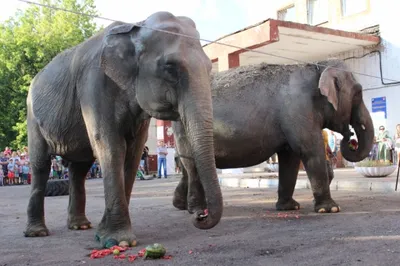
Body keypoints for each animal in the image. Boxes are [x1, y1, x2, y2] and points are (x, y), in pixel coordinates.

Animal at [23, 10, 223, 247]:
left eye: (210, 68)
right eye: (170, 67)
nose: (199, 215)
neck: (135, 27)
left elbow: (134, 151)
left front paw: (104, 233)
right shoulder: (93, 83)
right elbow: (109, 144)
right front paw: (119, 240)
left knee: (79, 168)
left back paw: (80, 226)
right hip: (32, 117)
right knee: (41, 165)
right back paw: (37, 232)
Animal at [173, 59, 376, 215]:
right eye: (358, 92)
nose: (349, 137)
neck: (317, 67)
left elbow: (290, 158)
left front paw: (289, 208)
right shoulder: (298, 110)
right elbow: (310, 150)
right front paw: (330, 209)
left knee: (187, 167)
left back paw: (182, 206)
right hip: (186, 130)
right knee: (192, 167)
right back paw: (198, 210)